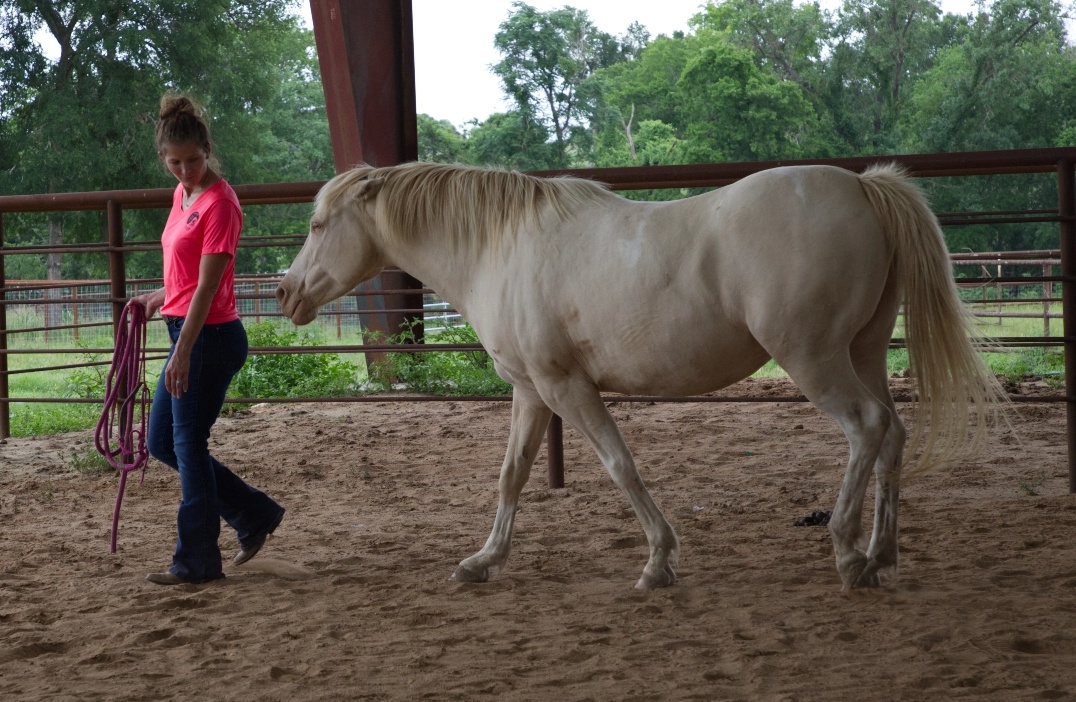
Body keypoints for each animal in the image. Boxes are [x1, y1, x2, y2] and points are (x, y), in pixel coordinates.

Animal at [276, 161, 1005, 590]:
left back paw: (849, 555)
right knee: (893, 437)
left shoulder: (567, 387)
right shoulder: (531, 391)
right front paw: (483, 561)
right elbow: (512, 475)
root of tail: (862, 186)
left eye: (316, 223)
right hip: (865, 351)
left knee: (867, 428)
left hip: (815, 358)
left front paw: (657, 561)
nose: (286, 295)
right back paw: (883, 555)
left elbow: (619, 465)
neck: (500, 248)